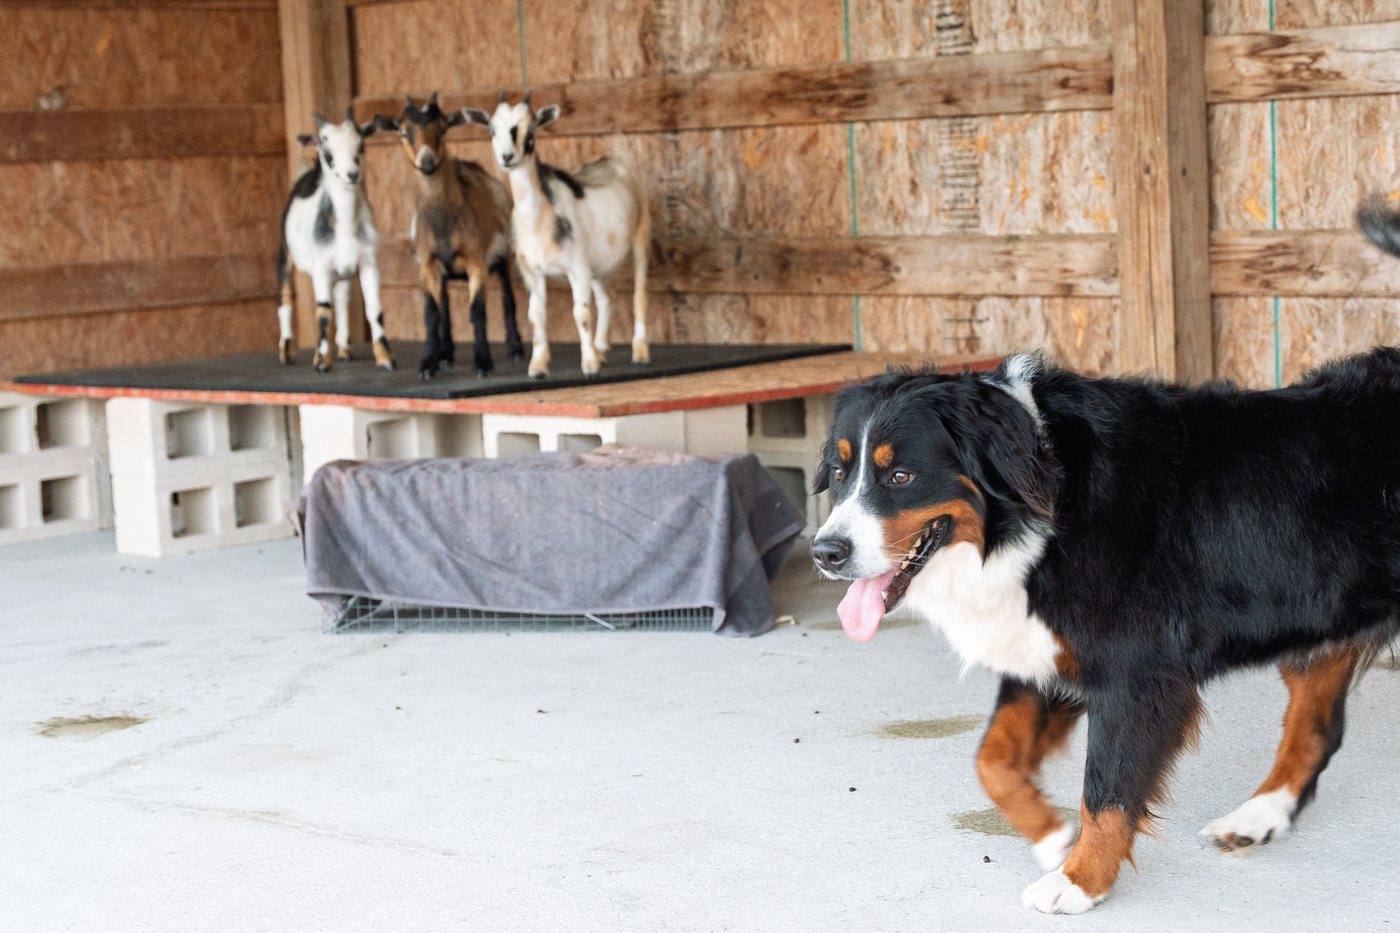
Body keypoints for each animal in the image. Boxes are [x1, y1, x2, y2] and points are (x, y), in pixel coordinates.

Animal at [278, 110, 393, 372]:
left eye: (361, 146)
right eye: (328, 152)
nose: (352, 174)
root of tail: (308, 175)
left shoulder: (367, 262)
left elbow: (374, 309)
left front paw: (385, 358)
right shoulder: (321, 268)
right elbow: (323, 311)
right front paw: (321, 361)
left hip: (342, 273)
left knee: (341, 299)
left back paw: (343, 350)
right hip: (285, 253)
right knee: (286, 297)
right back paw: (286, 353)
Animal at [374, 94, 522, 380]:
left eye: (442, 128)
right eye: (403, 132)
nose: (427, 161)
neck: (444, 223)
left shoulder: (476, 261)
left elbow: (477, 310)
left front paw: (483, 363)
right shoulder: (429, 263)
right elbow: (432, 313)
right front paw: (428, 364)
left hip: (503, 257)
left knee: (509, 299)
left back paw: (516, 349)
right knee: (445, 307)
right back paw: (446, 355)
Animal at [464, 93, 650, 379]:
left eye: (530, 131)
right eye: (492, 129)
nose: (507, 157)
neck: (540, 220)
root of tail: (618, 161)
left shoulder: (577, 269)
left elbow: (581, 313)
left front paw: (589, 365)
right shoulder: (533, 272)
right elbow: (536, 315)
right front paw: (538, 366)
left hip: (641, 235)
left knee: (638, 295)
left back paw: (639, 353)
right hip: (598, 266)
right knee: (607, 300)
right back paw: (601, 349)